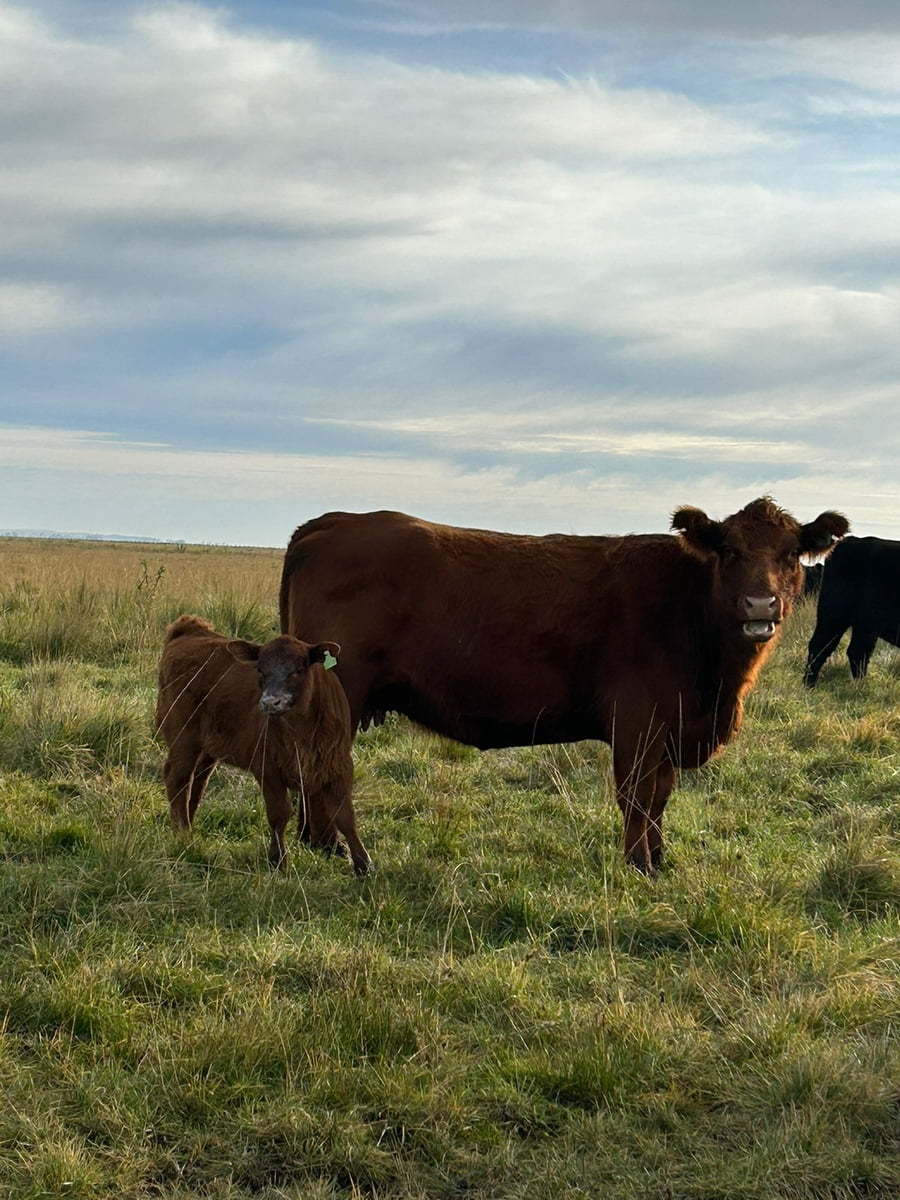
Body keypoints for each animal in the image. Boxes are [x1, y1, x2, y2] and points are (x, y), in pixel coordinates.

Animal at [155, 615, 372, 874]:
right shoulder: (268, 769)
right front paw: (278, 860)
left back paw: (188, 827)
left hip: (206, 747)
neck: (302, 733)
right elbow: (279, 815)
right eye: (260, 669)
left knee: (197, 782)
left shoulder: (338, 767)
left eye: (298, 670)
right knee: (177, 778)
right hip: (183, 734)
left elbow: (345, 817)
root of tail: (190, 631)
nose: (271, 702)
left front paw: (363, 864)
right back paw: (182, 834)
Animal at [279, 498, 848, 875]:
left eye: (791, 554)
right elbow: (637, 796)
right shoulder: (638, 721)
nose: (760, 605)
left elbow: (660, 797)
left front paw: (660, 858)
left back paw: (317, 844)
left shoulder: (669, 730)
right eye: (728, 550)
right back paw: (334, 848)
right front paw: (639, 865)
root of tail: (332, 521)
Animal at [804, 535, 900, 686]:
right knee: (819, 646)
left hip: (865, 626)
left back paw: (859, 686)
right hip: (833, 616)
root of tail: (852, 539)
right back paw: (809, 685)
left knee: (858, 652)